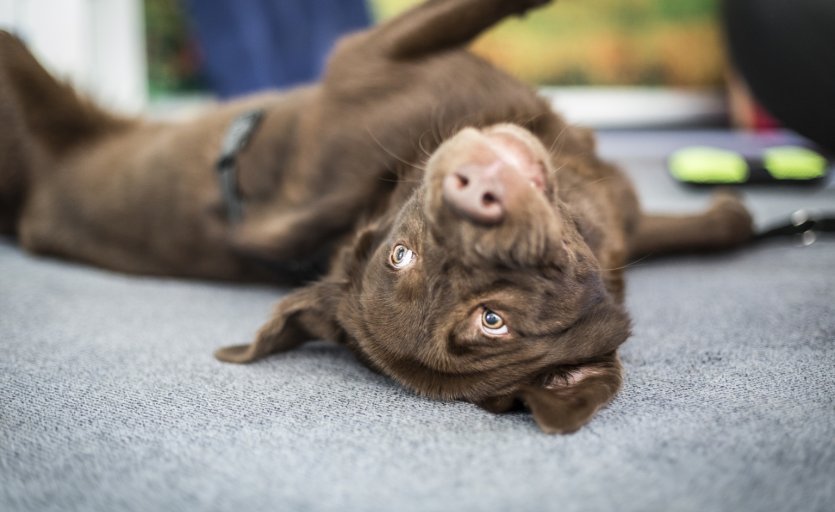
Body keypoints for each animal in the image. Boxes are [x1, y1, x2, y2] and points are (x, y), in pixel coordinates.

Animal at [0, 0, 756, 434]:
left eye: (492, 320)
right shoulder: (369, 52)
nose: (473, 186)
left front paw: (729, 206)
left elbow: (729, 227)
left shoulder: (621, 229)